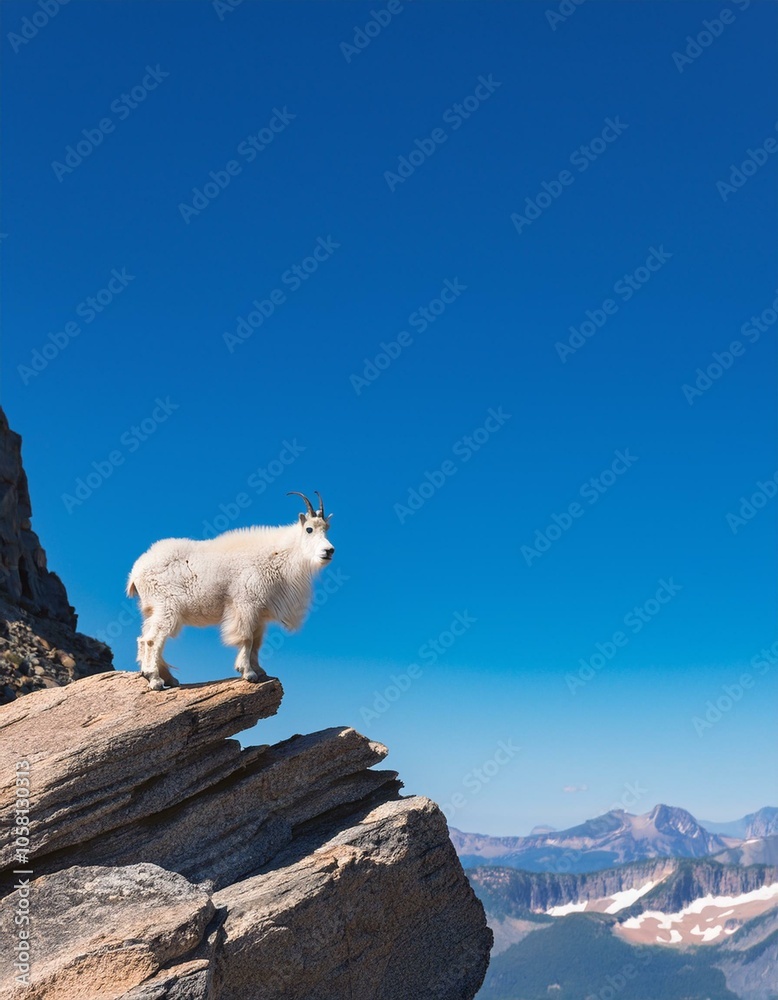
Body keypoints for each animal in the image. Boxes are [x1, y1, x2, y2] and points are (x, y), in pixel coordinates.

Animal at [126, 491, 334, 690]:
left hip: (153, 610)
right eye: (309, 529)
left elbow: (257, 641)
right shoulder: (245, 603)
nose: (329, 551)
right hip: (166, 607)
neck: (278, 555)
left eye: (327, 529)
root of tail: (135, 572)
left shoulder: (259, 612)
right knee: (152, 640)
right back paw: (155, 679)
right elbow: (247, 638)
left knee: (145, 638)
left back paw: (168, 678)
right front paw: (248, 673)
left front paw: (260, 670)